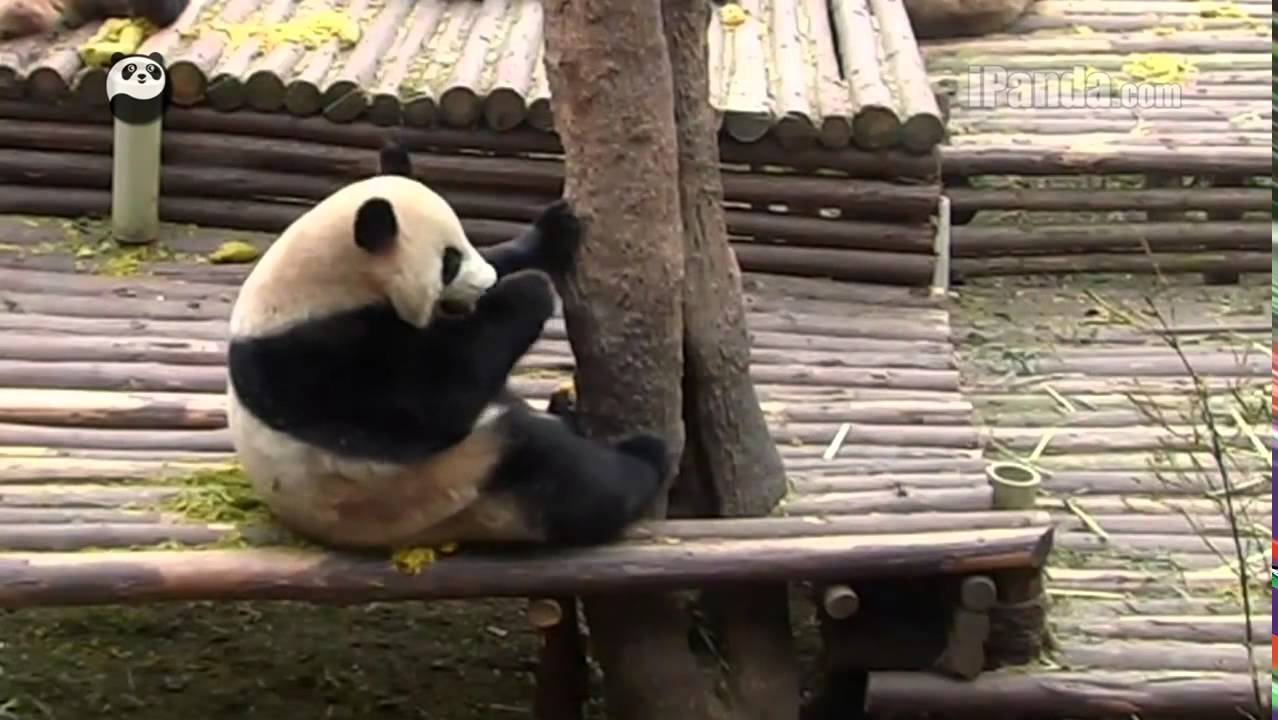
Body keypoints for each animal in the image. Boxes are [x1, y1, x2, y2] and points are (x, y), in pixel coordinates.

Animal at [225, 147, 669, 552]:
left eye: (465, 241)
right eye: (449, 261)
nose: (486, 282)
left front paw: (552, 232)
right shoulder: (313, 359)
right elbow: (435, 399)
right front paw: (530, 288)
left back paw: (568, 409)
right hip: (458, 483)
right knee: (568, 478)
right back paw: (645, 457)